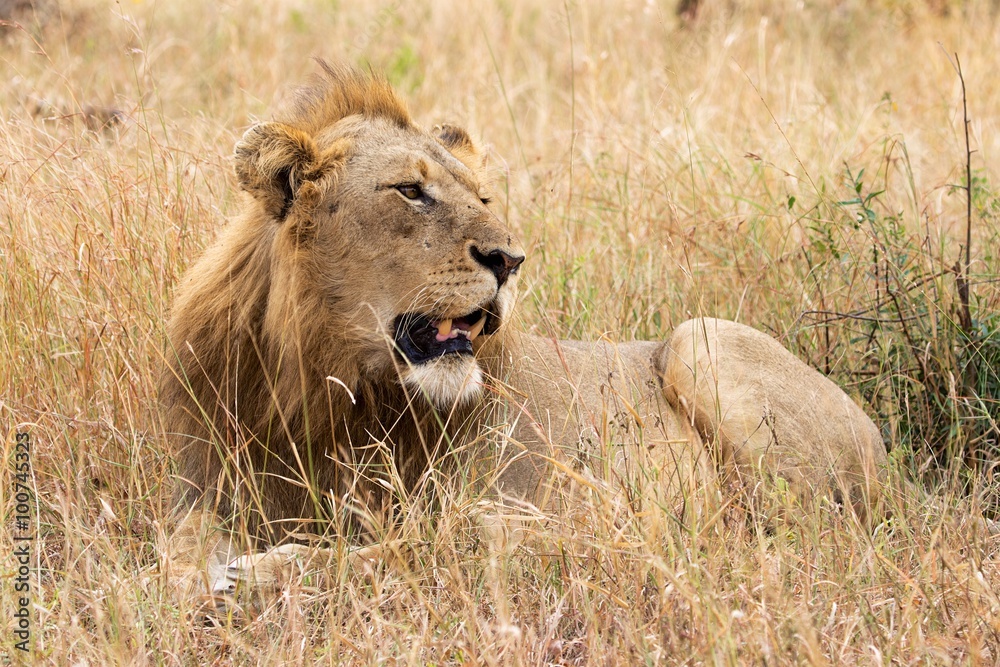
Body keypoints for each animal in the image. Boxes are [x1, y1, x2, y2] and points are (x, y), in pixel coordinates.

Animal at [160, 62, 886, 601]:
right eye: (410, 192)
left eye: (482, 198)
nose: (510, 260)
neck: (319, 381)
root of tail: (882, 440)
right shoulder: (212, 486)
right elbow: (175, 546)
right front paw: (191, 576)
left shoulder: (487, 514)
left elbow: (393, 548)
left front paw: (258, 572)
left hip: (699, 341)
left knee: (804, 532)